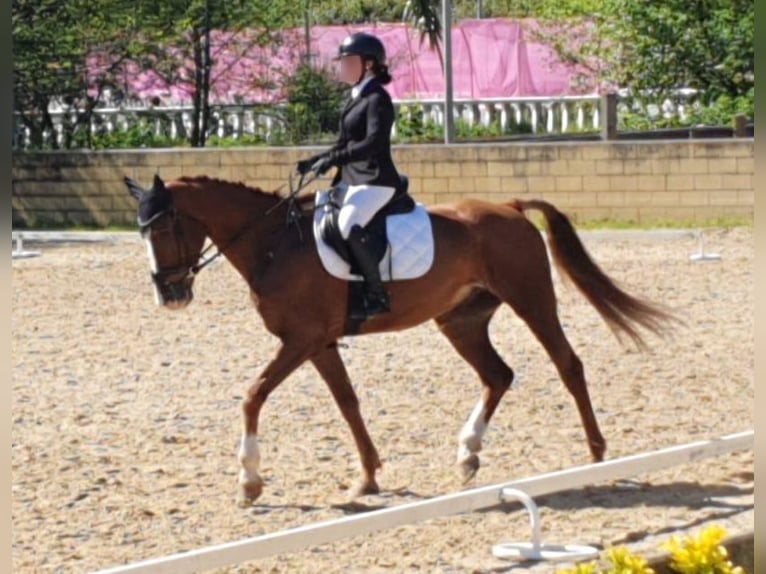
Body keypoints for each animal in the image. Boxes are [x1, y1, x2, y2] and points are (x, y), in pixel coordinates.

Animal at [123, 173, 676, 506]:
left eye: (165, 228)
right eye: (140, 232)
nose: (170, 295)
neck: (274, 244)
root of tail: (510, 205)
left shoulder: (301, 340)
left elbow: (252, 396)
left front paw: (249, 482)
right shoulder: (319, 343)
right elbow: (347, 403)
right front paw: (367, 477)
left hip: (531, 300)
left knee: (567, 364)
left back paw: (597, 454)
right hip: (461, 321)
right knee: (498, 375)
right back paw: (468, 454)